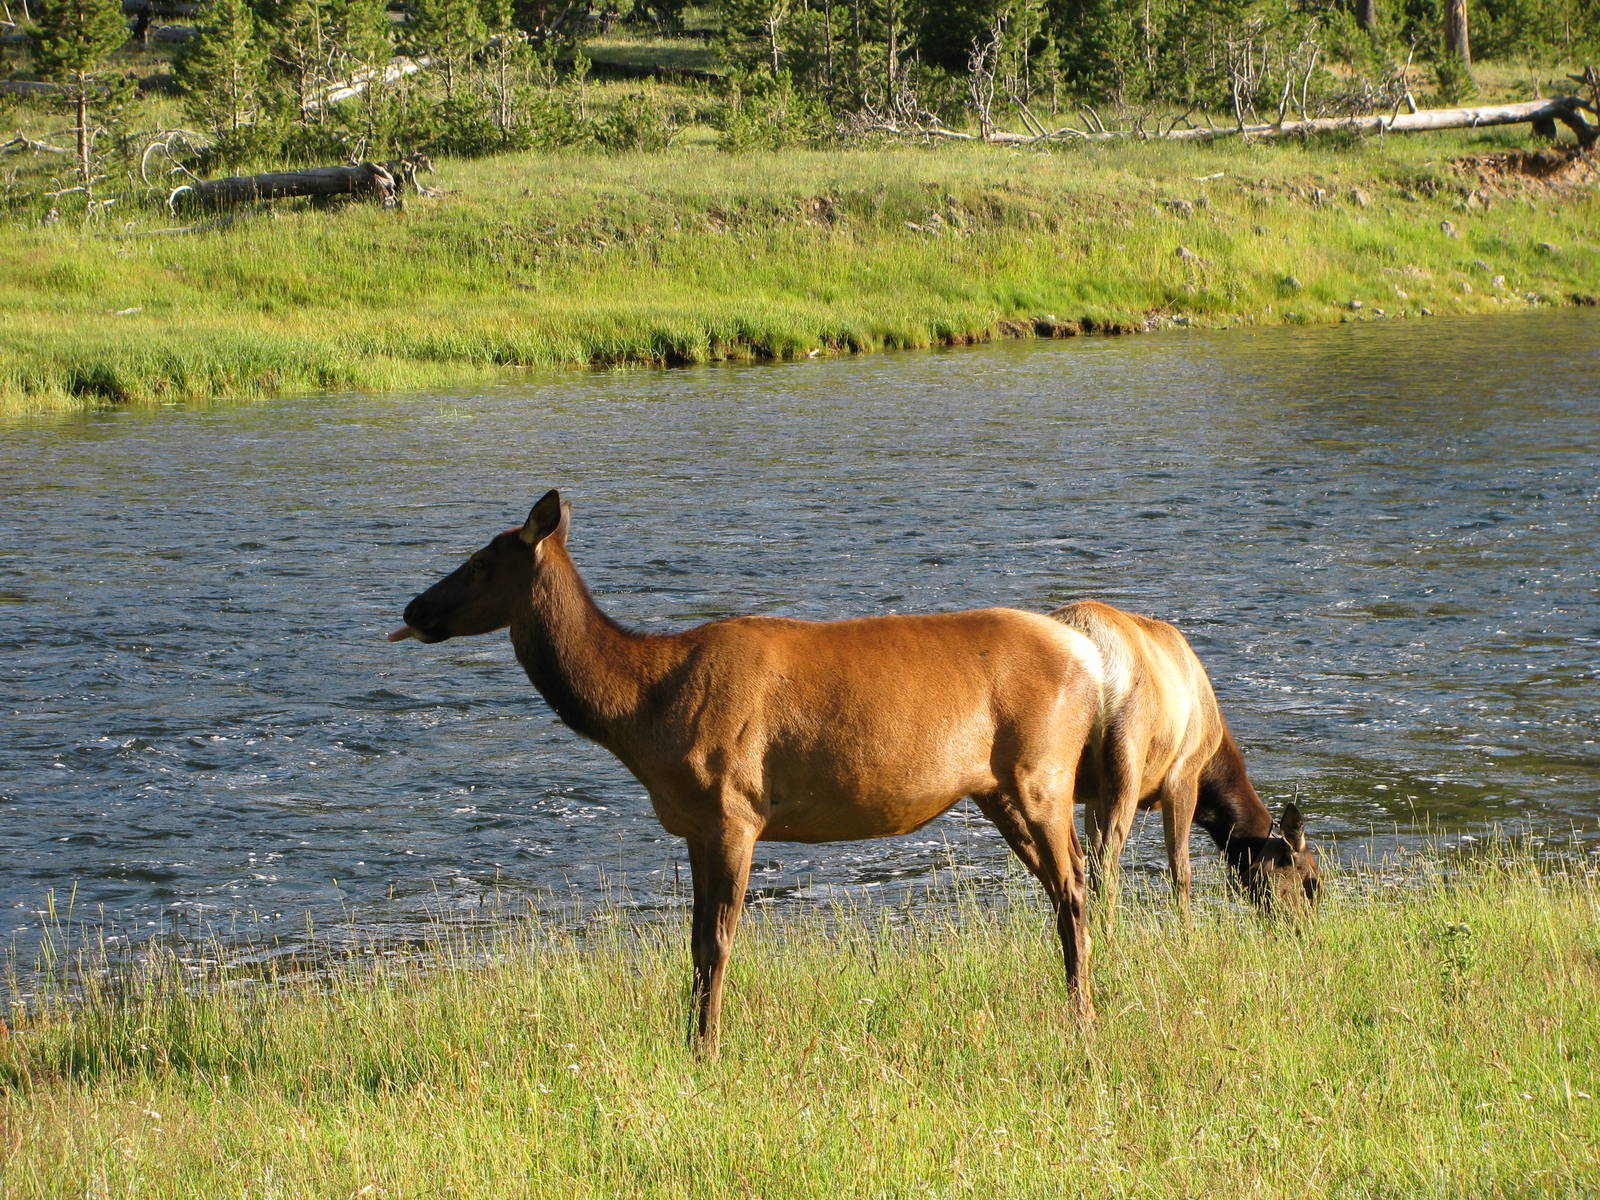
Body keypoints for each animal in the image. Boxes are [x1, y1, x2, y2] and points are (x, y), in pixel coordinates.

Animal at [389, 491, 1106, 1052]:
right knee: (1065, 882)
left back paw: (1083, 1020)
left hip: (1041, 773)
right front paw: (689, 1041)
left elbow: (717, 940)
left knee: (1073, 887)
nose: (412, 608)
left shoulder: (734, 810)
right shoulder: (692, 825)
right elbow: (692, 942)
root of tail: (1090, 657)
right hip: (998, 791)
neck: (642, 710)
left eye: (480, 563)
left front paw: (707, 1047)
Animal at [1049, 600, 1321, 920]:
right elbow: (1181, 870)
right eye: (1312, 880)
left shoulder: (1093, 796)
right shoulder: (1183, 774)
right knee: (1107, 862)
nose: (1305, 927)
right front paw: (1187, 930)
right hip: (1126, 759)